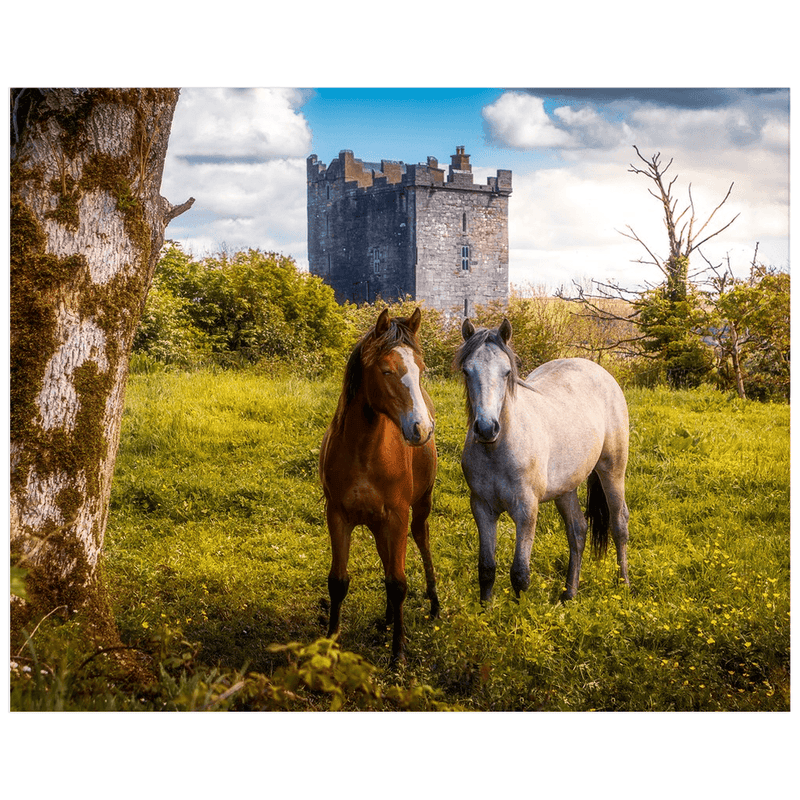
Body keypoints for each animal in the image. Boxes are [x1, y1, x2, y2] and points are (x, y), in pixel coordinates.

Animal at [318, 308, 440, 664]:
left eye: (421, 368)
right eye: (386, 370)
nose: (421, 428)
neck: (364, 451)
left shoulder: (398, 515)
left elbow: (398, 583)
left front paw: (398, 654)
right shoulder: (338, 515)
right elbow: (338, 582)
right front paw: (330, 642)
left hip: (419, 508)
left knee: (421, 541)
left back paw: (433, 603)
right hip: (376, 521)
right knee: (386, 558)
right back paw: (386, 618)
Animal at [456, 318, 632, 600]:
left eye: (506, 372)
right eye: (466, 371)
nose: (486, 428)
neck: (498, 450)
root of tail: (599, 371)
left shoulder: (526, 510)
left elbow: (520, 574)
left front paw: (519, 611)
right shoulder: (482, 508)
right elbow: (486, 569)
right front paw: (486, 608)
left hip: (612, 471)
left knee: (619, 524)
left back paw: (623, 583)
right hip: (566, 488)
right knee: (578, 531)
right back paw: (569, 593)